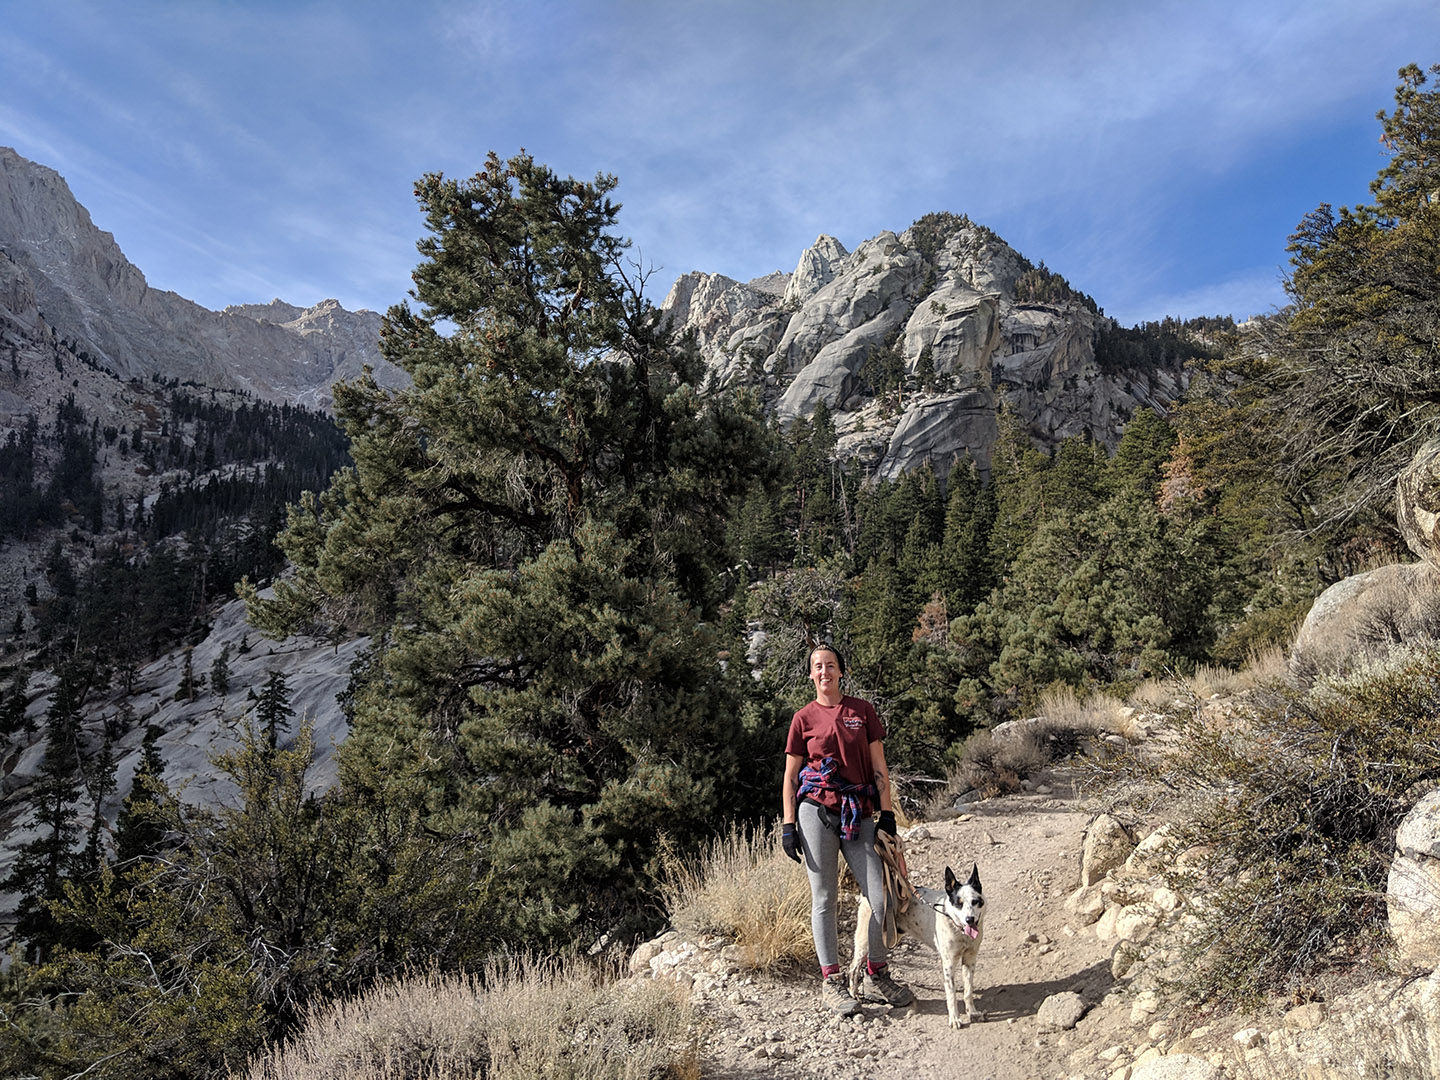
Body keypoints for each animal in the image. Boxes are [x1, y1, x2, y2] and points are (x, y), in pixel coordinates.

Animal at [846, 864, 984, 1031]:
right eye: (959, 903)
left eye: (975, 901)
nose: (970, 919)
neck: (959, 930)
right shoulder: (949, 964)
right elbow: (951, 995)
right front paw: (954, 1019)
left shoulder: (970, 960)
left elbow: (968, 990)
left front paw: (973, 1012)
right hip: (865, 941)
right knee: (853, 967)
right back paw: (853, 993)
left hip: (889, 937)